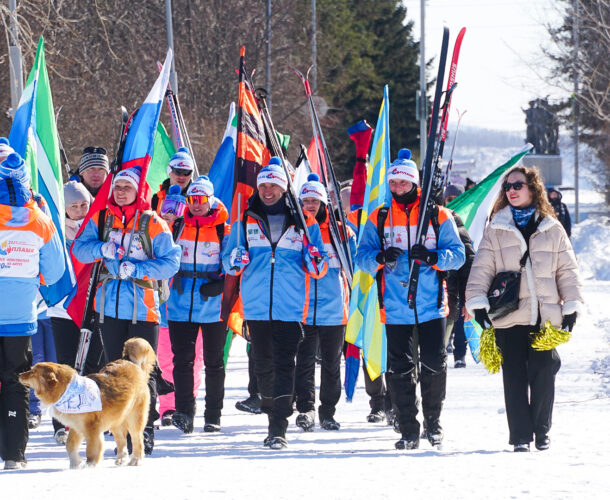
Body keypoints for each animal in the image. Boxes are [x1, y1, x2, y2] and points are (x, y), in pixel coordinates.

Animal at [20, 336, 156, 468]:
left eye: (32, 372)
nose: (20, 374)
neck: (67, 391)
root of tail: (130, 362)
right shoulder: (76, 426)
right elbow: (70, 445)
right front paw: (75, 463)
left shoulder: (92, 429)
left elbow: (92, 449)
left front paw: (90, 464)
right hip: (116, 420)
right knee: (121, 440)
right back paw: (121, 459)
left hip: (134, 418)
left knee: (137, 439)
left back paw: (136, 460)